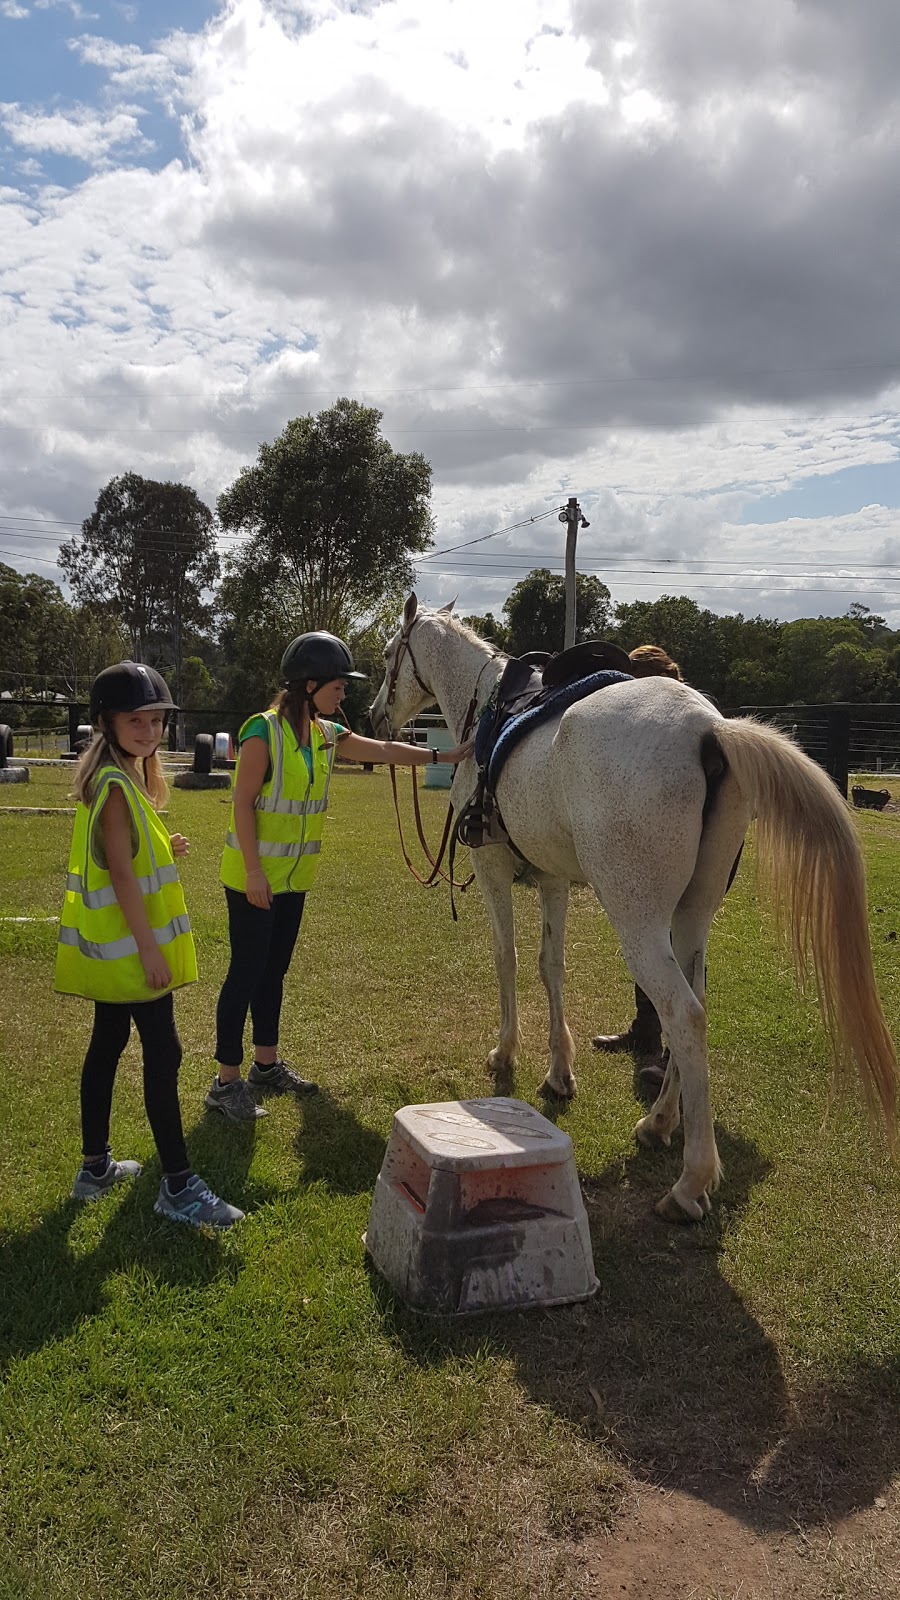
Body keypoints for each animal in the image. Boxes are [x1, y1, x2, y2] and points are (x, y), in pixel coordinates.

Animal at [368, 595, 890, 1216]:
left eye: (389, 654)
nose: (372, 718)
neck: (487, 709)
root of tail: (711, 730)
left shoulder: (492, 868)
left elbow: (508, 959)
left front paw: (506, 1054)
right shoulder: (553, 880)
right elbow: (550, 966)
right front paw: (560, 1071)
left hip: (638, 923)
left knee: (682, 1012)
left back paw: (690, 1182)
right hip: (690, 917)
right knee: (696, 1003)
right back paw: (660, 1123)